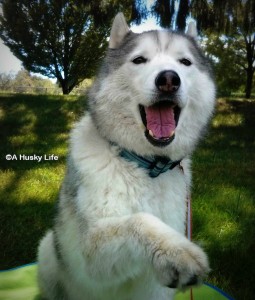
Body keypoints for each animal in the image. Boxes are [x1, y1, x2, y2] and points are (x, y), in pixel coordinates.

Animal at [37, 12, 216, 298]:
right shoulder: (90, 254)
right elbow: (139, 220)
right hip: (48, 249)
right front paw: (177, 252)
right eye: (139, 60)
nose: (169, 79)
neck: (146, 166)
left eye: (185, 62)